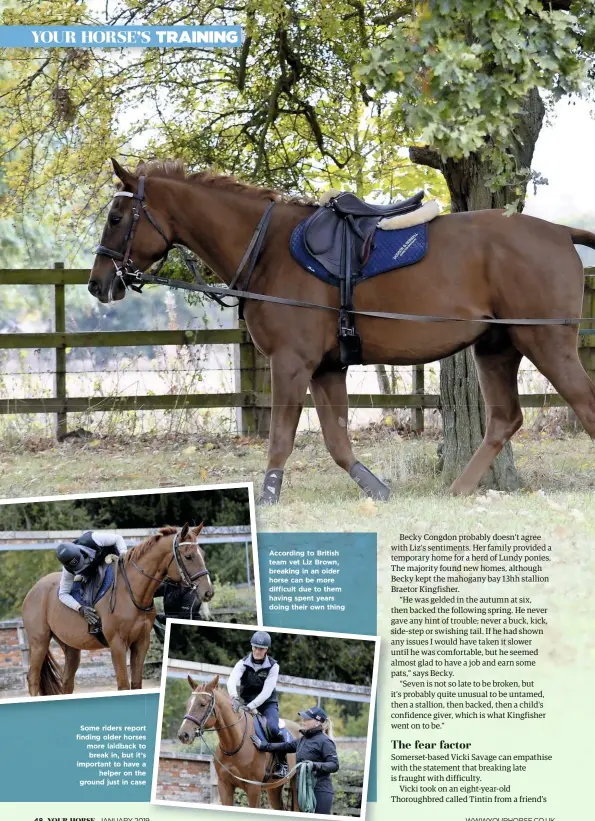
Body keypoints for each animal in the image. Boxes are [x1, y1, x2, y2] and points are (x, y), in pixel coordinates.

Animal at [23, 524, 214, 692]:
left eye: (203, 554)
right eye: (188, 556)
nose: (208, 592)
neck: (132, 592)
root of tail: (32, 591)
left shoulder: (141, 643)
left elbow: (136, 684)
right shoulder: (117, 644)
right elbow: (123, 685)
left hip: (70, 647)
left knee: (67, 681)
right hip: (39, 642)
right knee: (33, 678)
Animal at [87, 158, 595, 502]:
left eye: (116, 218)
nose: (97, 283)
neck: (268, 249)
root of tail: (558, 231)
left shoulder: (292, 364)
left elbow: (282, 438)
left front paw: (267, 496)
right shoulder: (327, 368)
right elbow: (337, 441)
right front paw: (377, 490)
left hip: (546, 342)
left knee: (583, 404)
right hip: (496, 348)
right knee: (505, 419)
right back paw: (458, 489)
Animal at [176, 672, 298, 808]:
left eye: (202, 704)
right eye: (188, 704)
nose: (183, 735)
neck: (235, 743)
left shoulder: (254, 789)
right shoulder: (224, 786)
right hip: (274, 788)